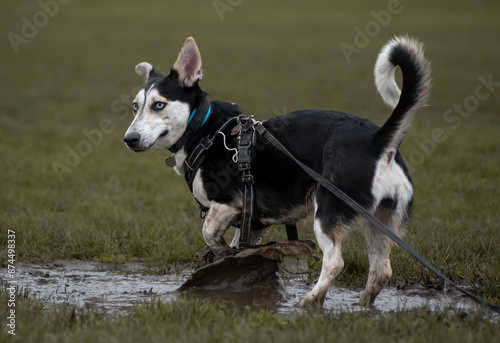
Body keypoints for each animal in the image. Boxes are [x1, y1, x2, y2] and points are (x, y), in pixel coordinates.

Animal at [124, 36, 430, 308]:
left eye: (159, 105)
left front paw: (222, 256)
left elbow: (209, 233)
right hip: (380, 220)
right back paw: (362, 306)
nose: (129, 139)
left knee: (334, 262)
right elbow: (239, 245)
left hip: (327, 211)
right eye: (135, 107)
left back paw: (309, 301)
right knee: (380, 271)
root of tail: (378, 141)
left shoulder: (226, 204)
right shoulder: (254, 222)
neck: (204, 131)